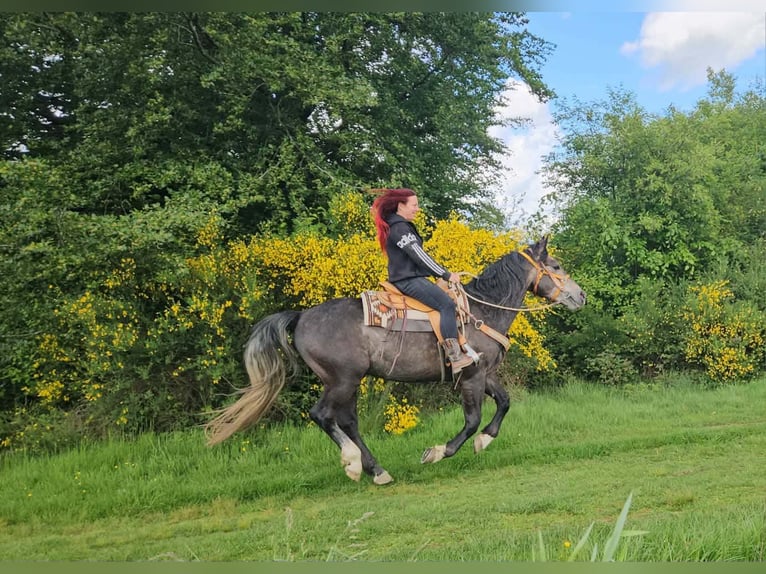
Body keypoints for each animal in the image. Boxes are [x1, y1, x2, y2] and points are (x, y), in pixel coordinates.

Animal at [205, 236, 586, 485]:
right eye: (556, 265)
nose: (580, 295)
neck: (481, 311)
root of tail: (300, 317)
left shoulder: (486, 373)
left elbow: (504, 404)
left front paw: (485, 441)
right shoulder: (472, 377)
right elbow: (472, 420)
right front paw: (438, 452)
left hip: (349, 382)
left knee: (349, 422)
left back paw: (377, 471)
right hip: (341, 380)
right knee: (323, 415)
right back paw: (353, 464)